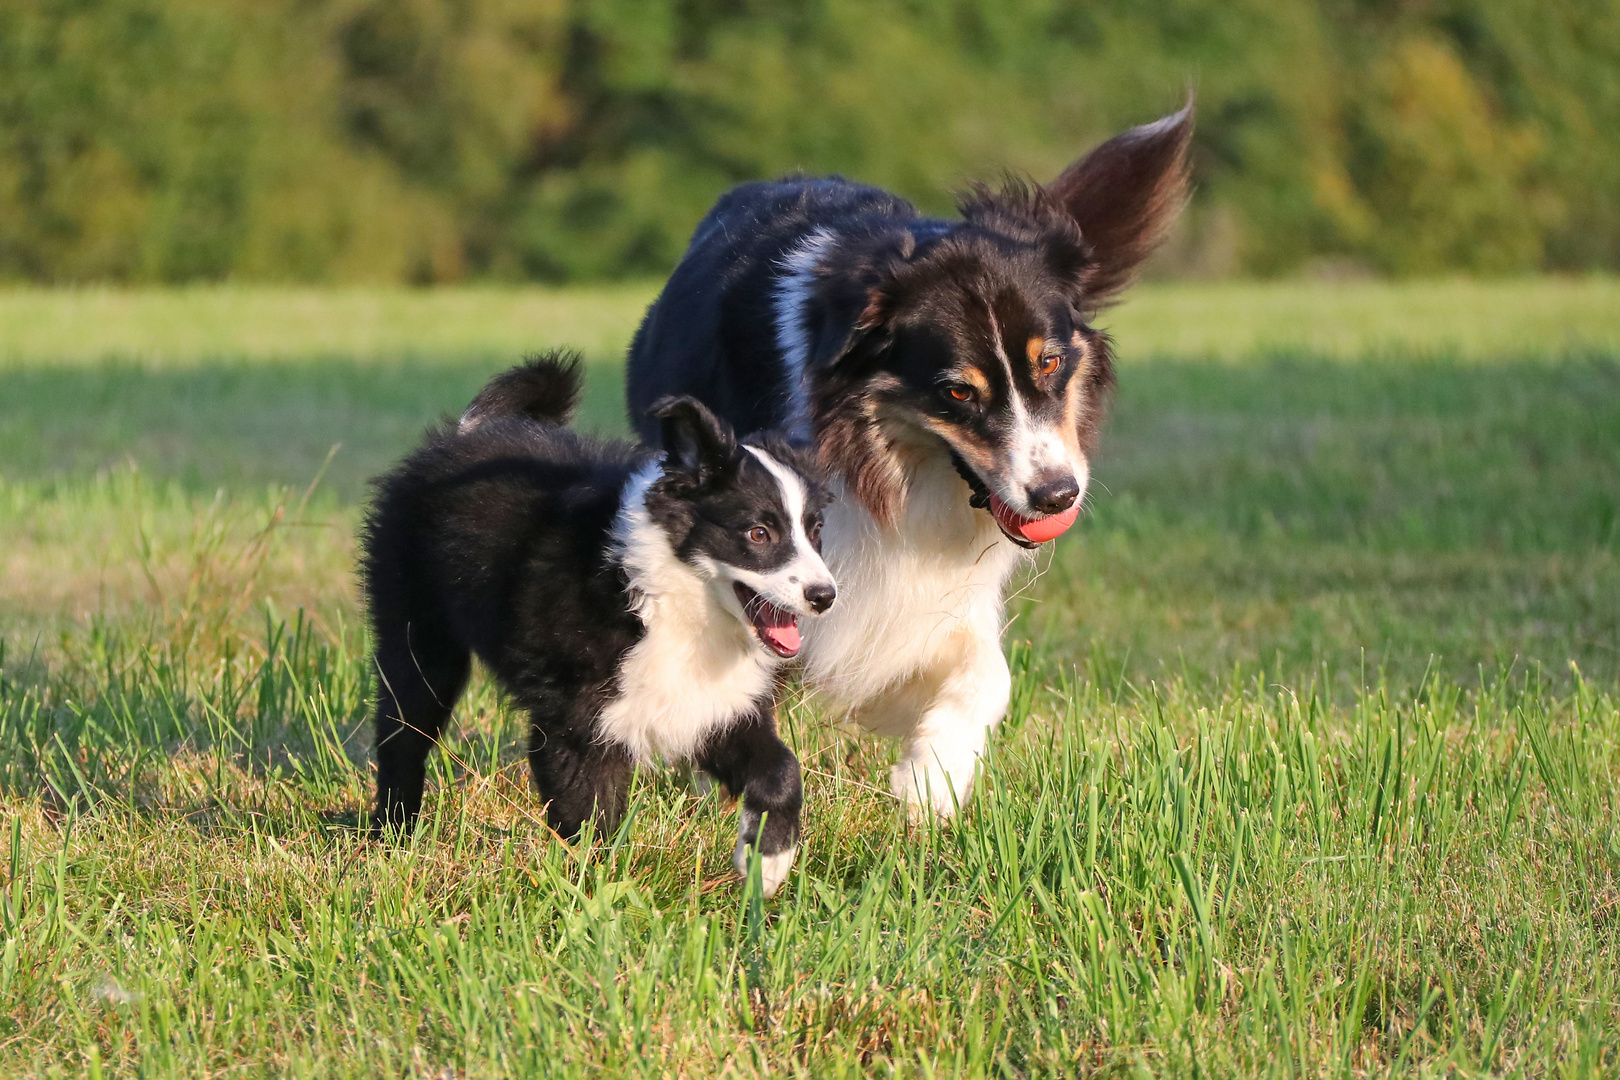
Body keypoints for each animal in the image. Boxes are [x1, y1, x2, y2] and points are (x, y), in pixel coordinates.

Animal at [364, 354, 835, 893]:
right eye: (758, 533)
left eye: (816, 530)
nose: (825, 596)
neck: (669, 601)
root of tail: (457, 441)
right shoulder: (577, 723)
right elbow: (589, 815)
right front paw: (594, 894)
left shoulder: (714, 705)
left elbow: (781, 771)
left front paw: (767, 861)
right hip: (417, 636)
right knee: (403, 734)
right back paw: (392, 836)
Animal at [625, 103, 1198, 819]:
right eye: (957, 392)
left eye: (1050, 362)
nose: (1057, 496)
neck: (884, 462)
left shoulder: (927, 590)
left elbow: (987, 675)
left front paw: (932, 783)